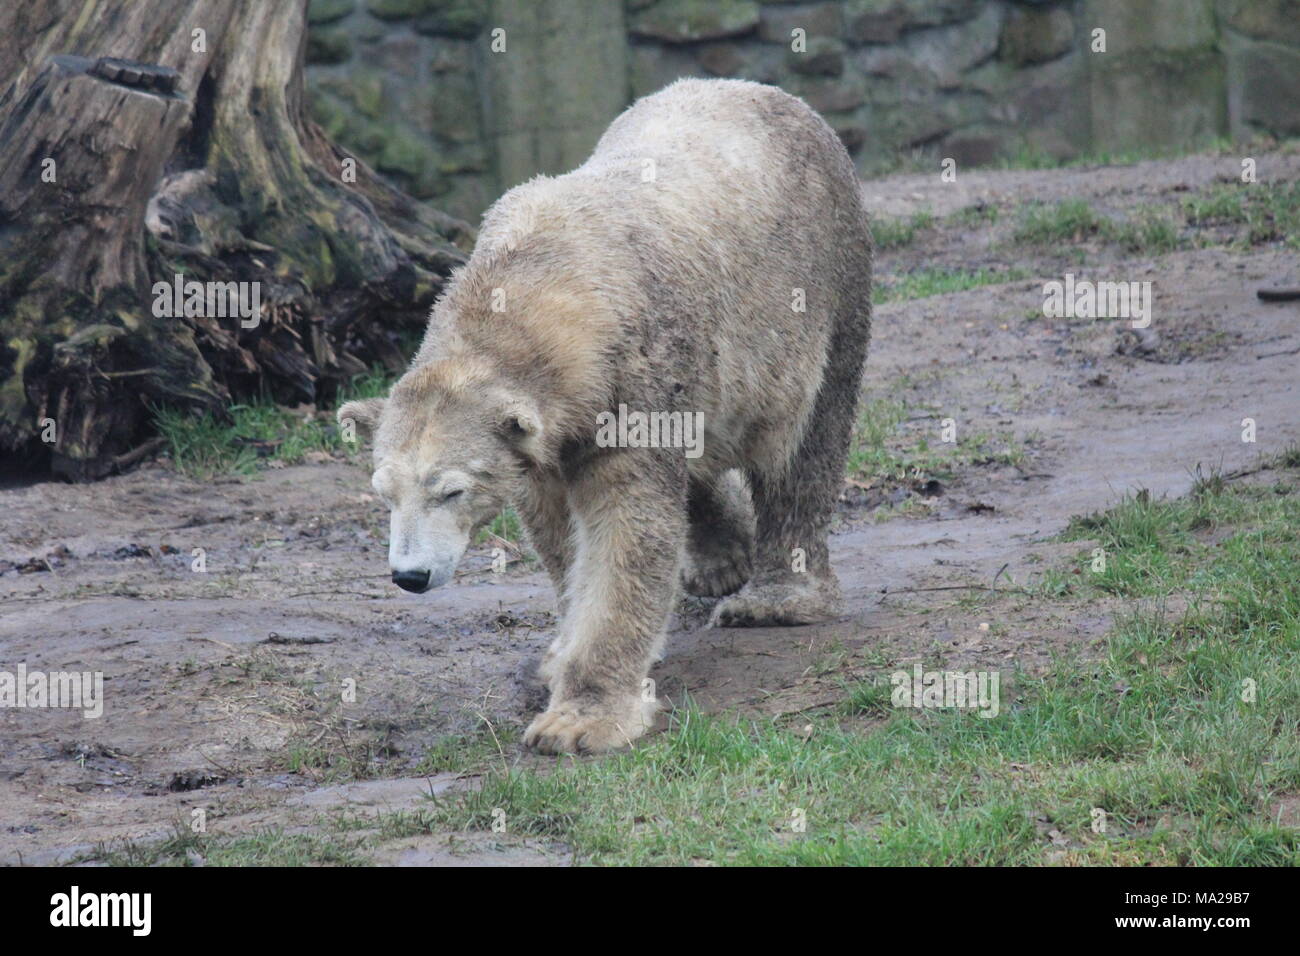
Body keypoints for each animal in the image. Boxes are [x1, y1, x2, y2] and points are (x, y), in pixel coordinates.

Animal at [338, 78, 873, 754]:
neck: (540, 277)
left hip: (824, 276)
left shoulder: (636, 374)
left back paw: (777, 598)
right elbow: (559, 532)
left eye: (450, 490)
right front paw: (557, 656)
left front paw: (580, 719)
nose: (409, 576)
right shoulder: (552, 436)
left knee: (808, 434)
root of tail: (760, 89)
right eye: (384, 493)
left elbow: (625, 526)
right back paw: (720, 562)